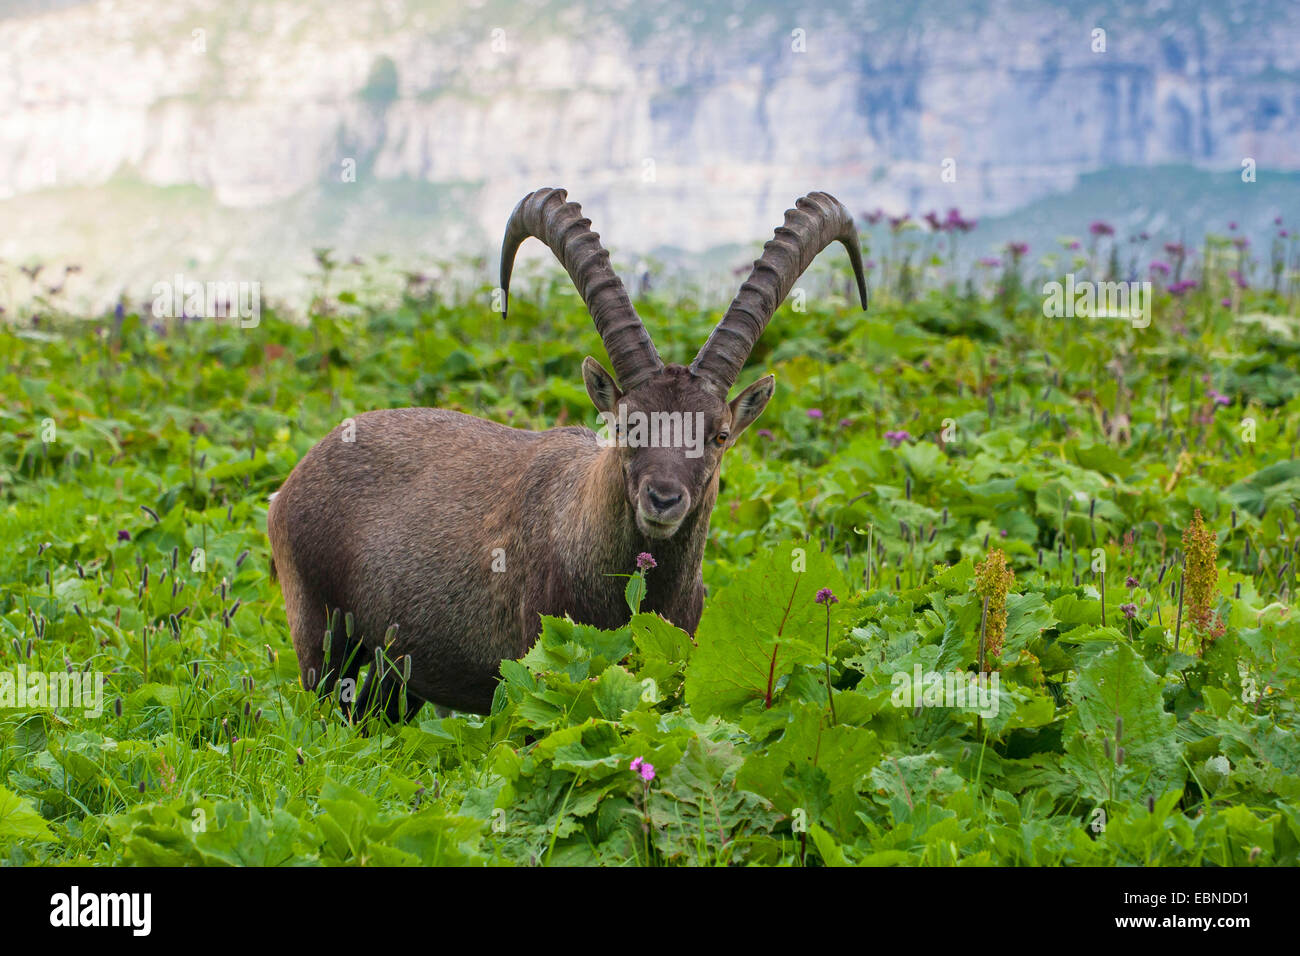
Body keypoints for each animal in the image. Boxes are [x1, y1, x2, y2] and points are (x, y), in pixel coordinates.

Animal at [267, 188, 868, 718]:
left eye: (720, 435)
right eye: (626, 423)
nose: (663, 499)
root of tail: (294, 480)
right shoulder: (540, 671)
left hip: (397, 673)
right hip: (321, 634)